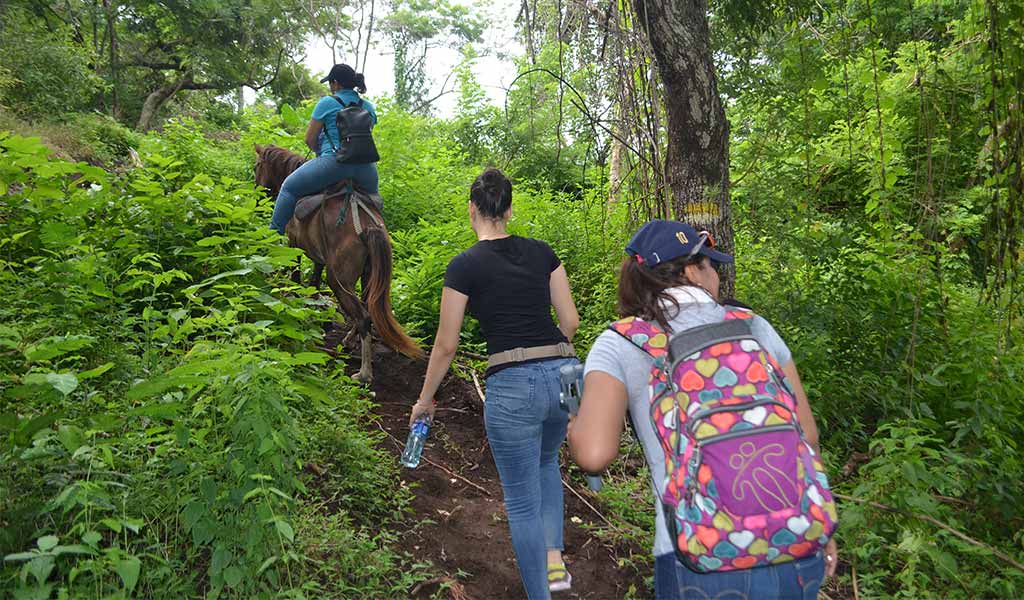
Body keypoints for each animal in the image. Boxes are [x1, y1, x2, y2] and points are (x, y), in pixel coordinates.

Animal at [256, 142, 423, 380]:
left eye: (257, 166)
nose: (257, 193)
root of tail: (369, 227)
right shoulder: (319, 256)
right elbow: (314, 282)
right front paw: (315, 311)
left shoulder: (294, 243)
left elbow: (297, 273)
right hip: (368, 275)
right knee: (367, 306)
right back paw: (350, 341)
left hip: (338, 280)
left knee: (363, 316)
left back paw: (364, 373)